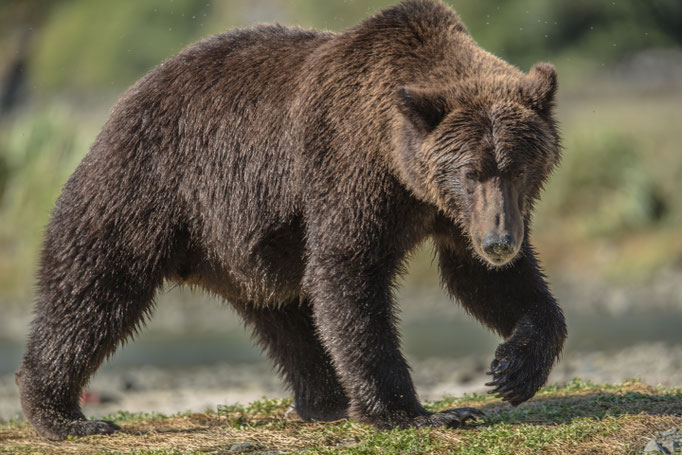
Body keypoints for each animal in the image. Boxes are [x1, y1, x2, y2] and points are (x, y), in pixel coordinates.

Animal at [18, 0, 564, 442]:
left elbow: (487, 281)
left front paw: (513, 369)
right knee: (94, 288)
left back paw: (322, 400)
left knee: (287, 316)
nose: (499, 241)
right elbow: (349, 274)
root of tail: (127, 97)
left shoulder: (451, 213)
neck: (401, 166)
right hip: (145, 187)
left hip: (246, 246)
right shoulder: (350, 171)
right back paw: (63, 415)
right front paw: (417, 413)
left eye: (517, 168)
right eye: (471, 171)